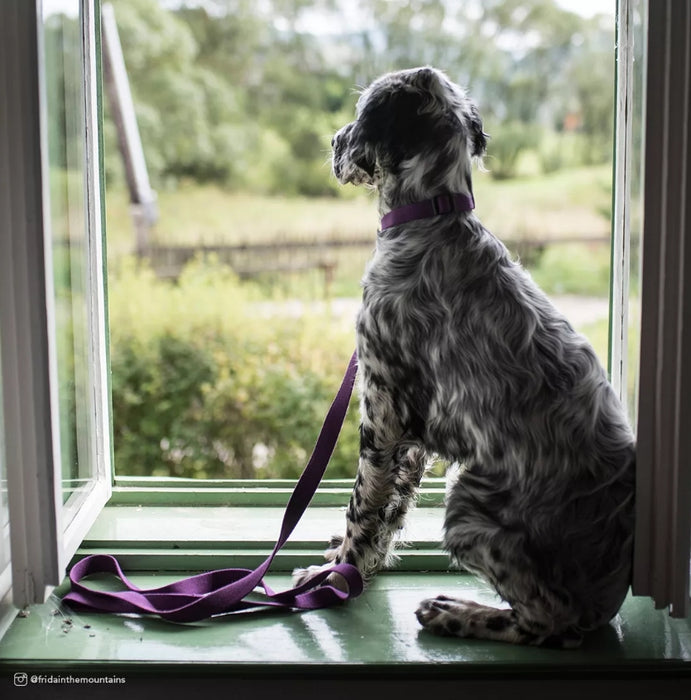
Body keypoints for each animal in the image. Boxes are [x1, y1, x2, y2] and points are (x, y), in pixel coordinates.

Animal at [294, 68, 636, 648]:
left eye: (359, 116)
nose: (333, 141)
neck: (432, 217)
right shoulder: (412, 437)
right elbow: (390, 511)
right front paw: (357, 567)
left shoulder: (382, 413)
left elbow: (363, 504)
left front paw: (337, 572)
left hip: (468, 509)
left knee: (547, 620)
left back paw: (456, 613)